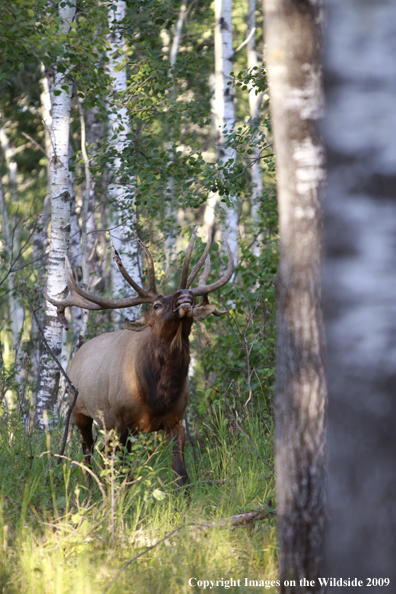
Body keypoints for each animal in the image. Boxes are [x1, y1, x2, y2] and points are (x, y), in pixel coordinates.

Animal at [44, 229, 234, 484]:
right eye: (156, 305)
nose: (185, 294)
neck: (155, 394)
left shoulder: (175, 419)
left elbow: (181, 475)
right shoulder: (119, 420)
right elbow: (121, 472)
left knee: (102, 454)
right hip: (79, 411)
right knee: (88, 453)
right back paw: (90, 487)